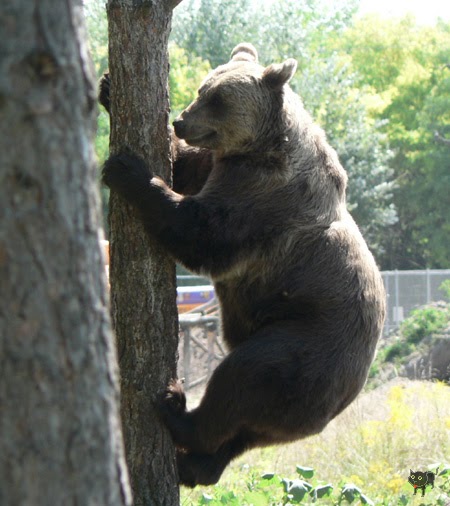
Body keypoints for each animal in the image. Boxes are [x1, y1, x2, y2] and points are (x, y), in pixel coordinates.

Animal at [102, 42, 386, 486]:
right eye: (202, 89)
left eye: (218, 99)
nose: (181, 120)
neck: (263, 148)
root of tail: (348, 393)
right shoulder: (221, 165)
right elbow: (187, 169)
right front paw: (109, 88)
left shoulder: (265, 199)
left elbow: (204, 232)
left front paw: (128, 169)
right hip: (296, 402)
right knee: (247, 433)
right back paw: (196, 465)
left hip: (304, 345)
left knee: (241, 380)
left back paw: (175, 407)